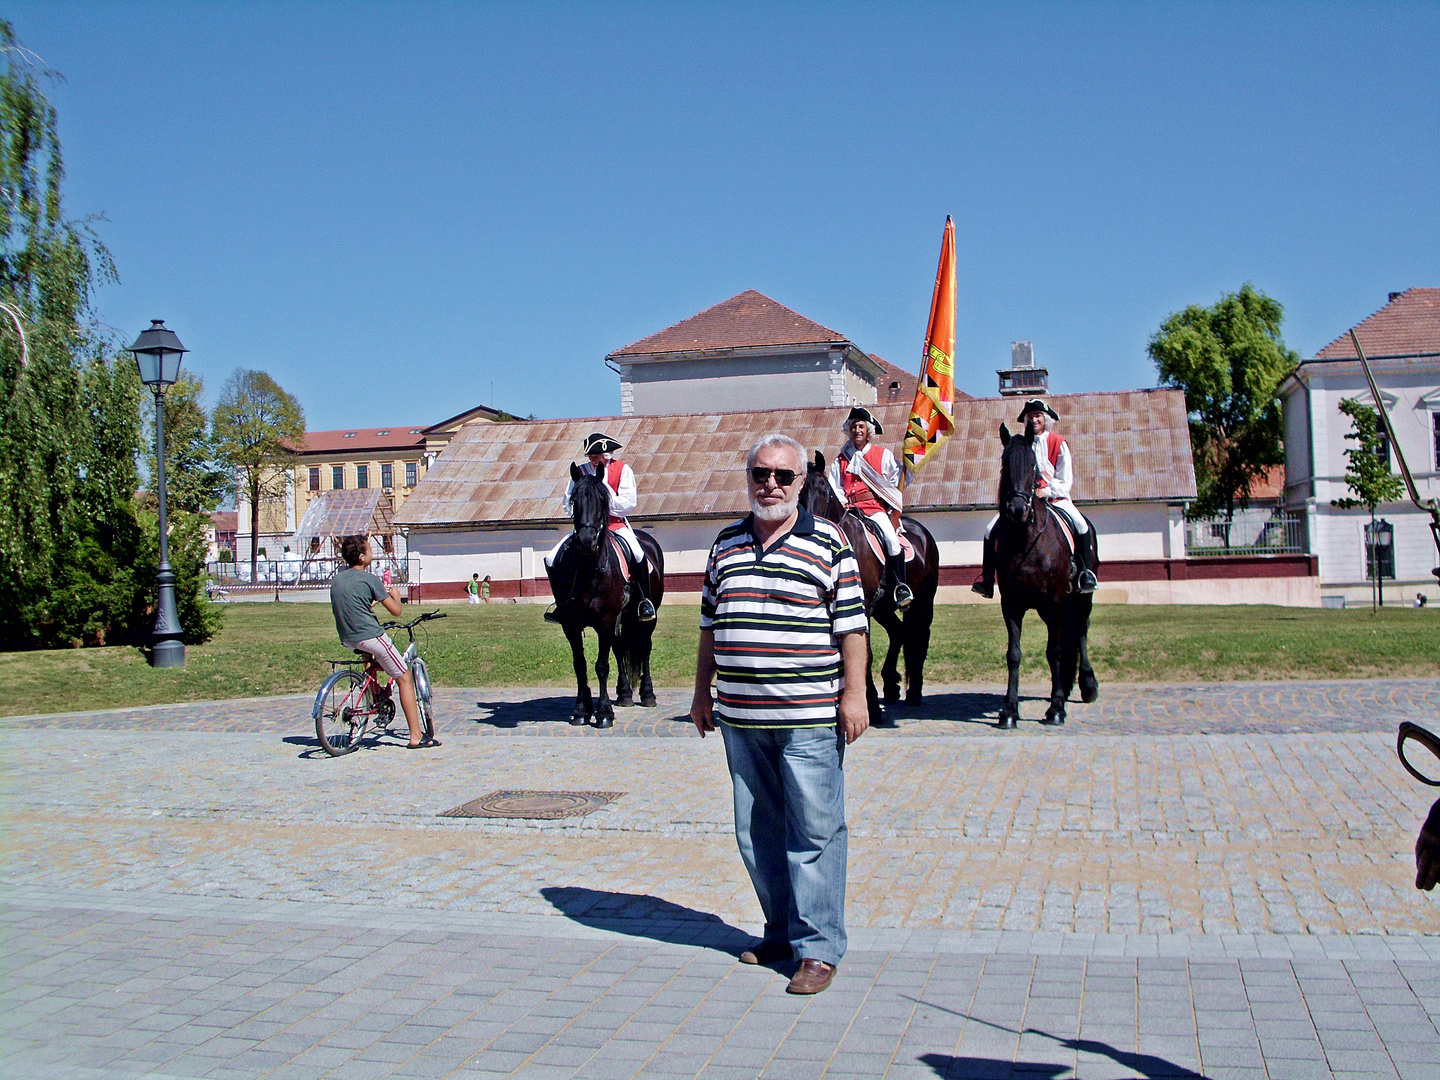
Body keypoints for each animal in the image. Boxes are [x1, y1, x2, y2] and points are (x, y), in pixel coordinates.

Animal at [547, 463, 665, 728]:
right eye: (574, 499)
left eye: (603, 500)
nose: (586, 540)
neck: (588, 568)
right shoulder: (571, 624)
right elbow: (580, 664)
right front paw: (582, 710)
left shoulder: (605, 620)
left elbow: (601, 665)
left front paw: (603, 714)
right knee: (620, 647)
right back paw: (624, 694)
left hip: (646, 617)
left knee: (645, 646)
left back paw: (647, 694)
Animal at [806, 452, 938, 722]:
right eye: (801, 489)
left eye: (823, 487)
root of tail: (922, 532)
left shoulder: (862, 606)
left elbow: (863, 653)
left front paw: (872, 708)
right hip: (884, 608)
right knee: (899, 633)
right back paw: (891, 684)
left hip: (923, 601)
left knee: (920, 636)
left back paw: (914, 692)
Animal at [996, 426, 1094, 731]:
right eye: (1004, 464)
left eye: (1033, 465)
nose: (1017, 509)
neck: (1025, 540)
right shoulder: (1011, 604)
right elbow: (1014, 654)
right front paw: (1009, 711)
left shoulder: (1055, 603)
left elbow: (1056, 652)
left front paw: (1056, 709)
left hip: (1082, 600)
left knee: (1081, 632)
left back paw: (1087, 686)